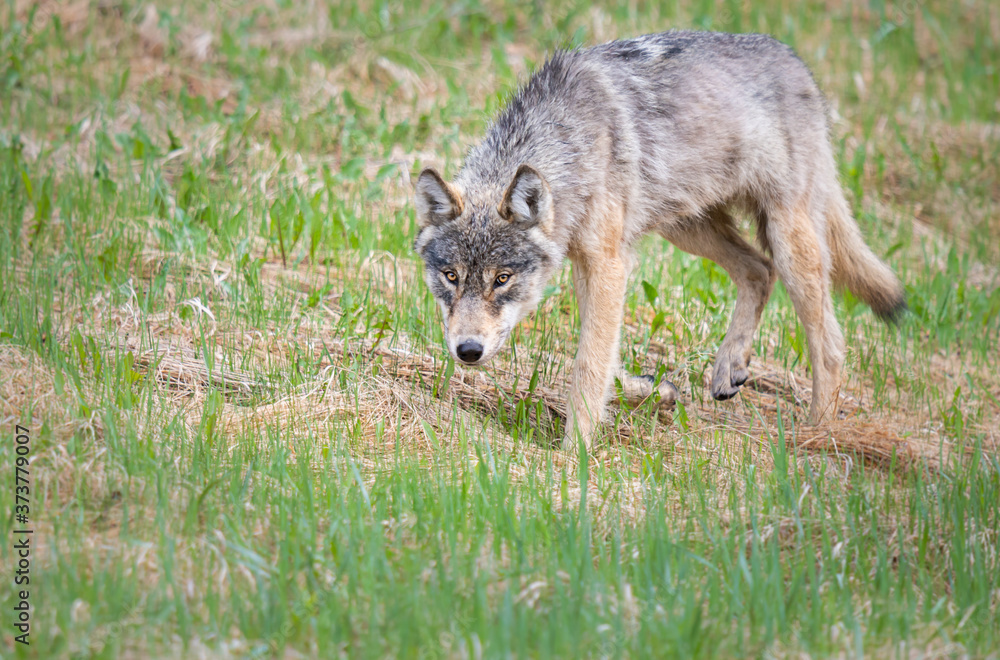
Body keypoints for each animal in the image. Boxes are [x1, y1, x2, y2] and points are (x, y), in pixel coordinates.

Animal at [413, 30, 906, 449]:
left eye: (502, 279)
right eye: (451, 276)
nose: (467, 351)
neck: (568, 144)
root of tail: (797, 62)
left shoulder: (607, 263)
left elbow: (588, 364)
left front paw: (574, 459)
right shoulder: (600, 267)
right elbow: (606, 360)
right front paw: (654, 392)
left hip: (786, 238)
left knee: (830, 343)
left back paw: (817, 438)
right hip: (689, 229)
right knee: (757, 270)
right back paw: (730, 368)